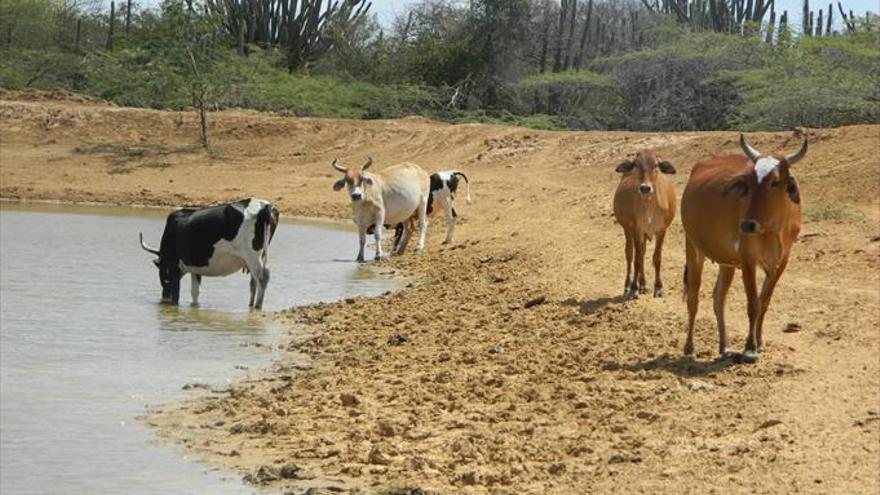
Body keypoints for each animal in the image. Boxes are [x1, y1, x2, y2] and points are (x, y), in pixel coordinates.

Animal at [138, 199, 278, 308]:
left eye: (161, 271)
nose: (164, 296)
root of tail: (264, 206)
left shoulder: (173, 266)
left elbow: (176, 295)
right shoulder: (195, 268)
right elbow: (195, 292)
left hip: (252, 256)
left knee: (262, 277)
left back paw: (258, 306)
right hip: (259, 256)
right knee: (254, 281)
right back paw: (251, 305)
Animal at [680, 134, 812, 362]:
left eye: (775, 181)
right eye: (748, 183)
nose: (747, 225)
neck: (771, 230)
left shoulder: (781, 261)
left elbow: (764, 302)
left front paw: (759, 343)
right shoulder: (748, 259)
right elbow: (753, 304)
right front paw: (749, 348)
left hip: (726, 261)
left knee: (718, 299)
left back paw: (724, 347)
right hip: (693, 248)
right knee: (693, 298)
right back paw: (690, 348)